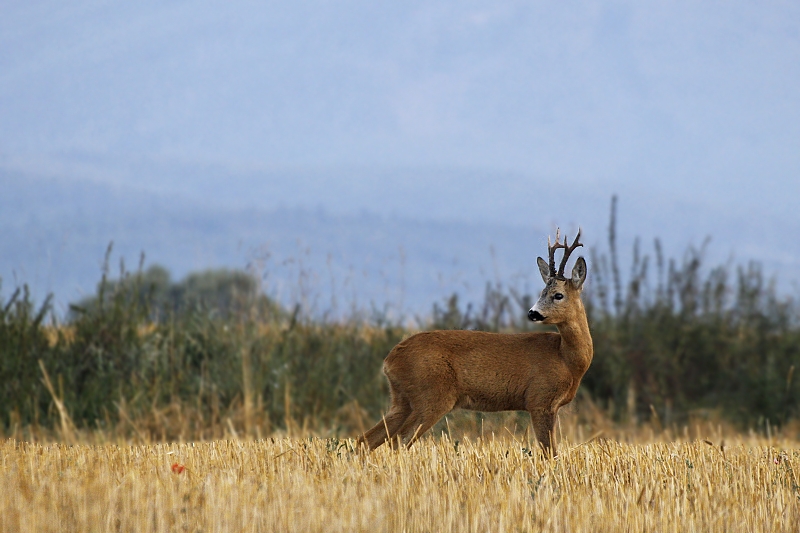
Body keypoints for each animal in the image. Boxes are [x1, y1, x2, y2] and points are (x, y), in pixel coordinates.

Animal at [360, 227, 592, 456]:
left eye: (558, 295)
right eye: (543, 292)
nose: (532, 313)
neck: (566, 359)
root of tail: (389, 360)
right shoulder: (540, 399)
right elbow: (550, 453)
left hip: (401, 399)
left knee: (365, 440)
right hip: (431, 396)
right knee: (398, 442)